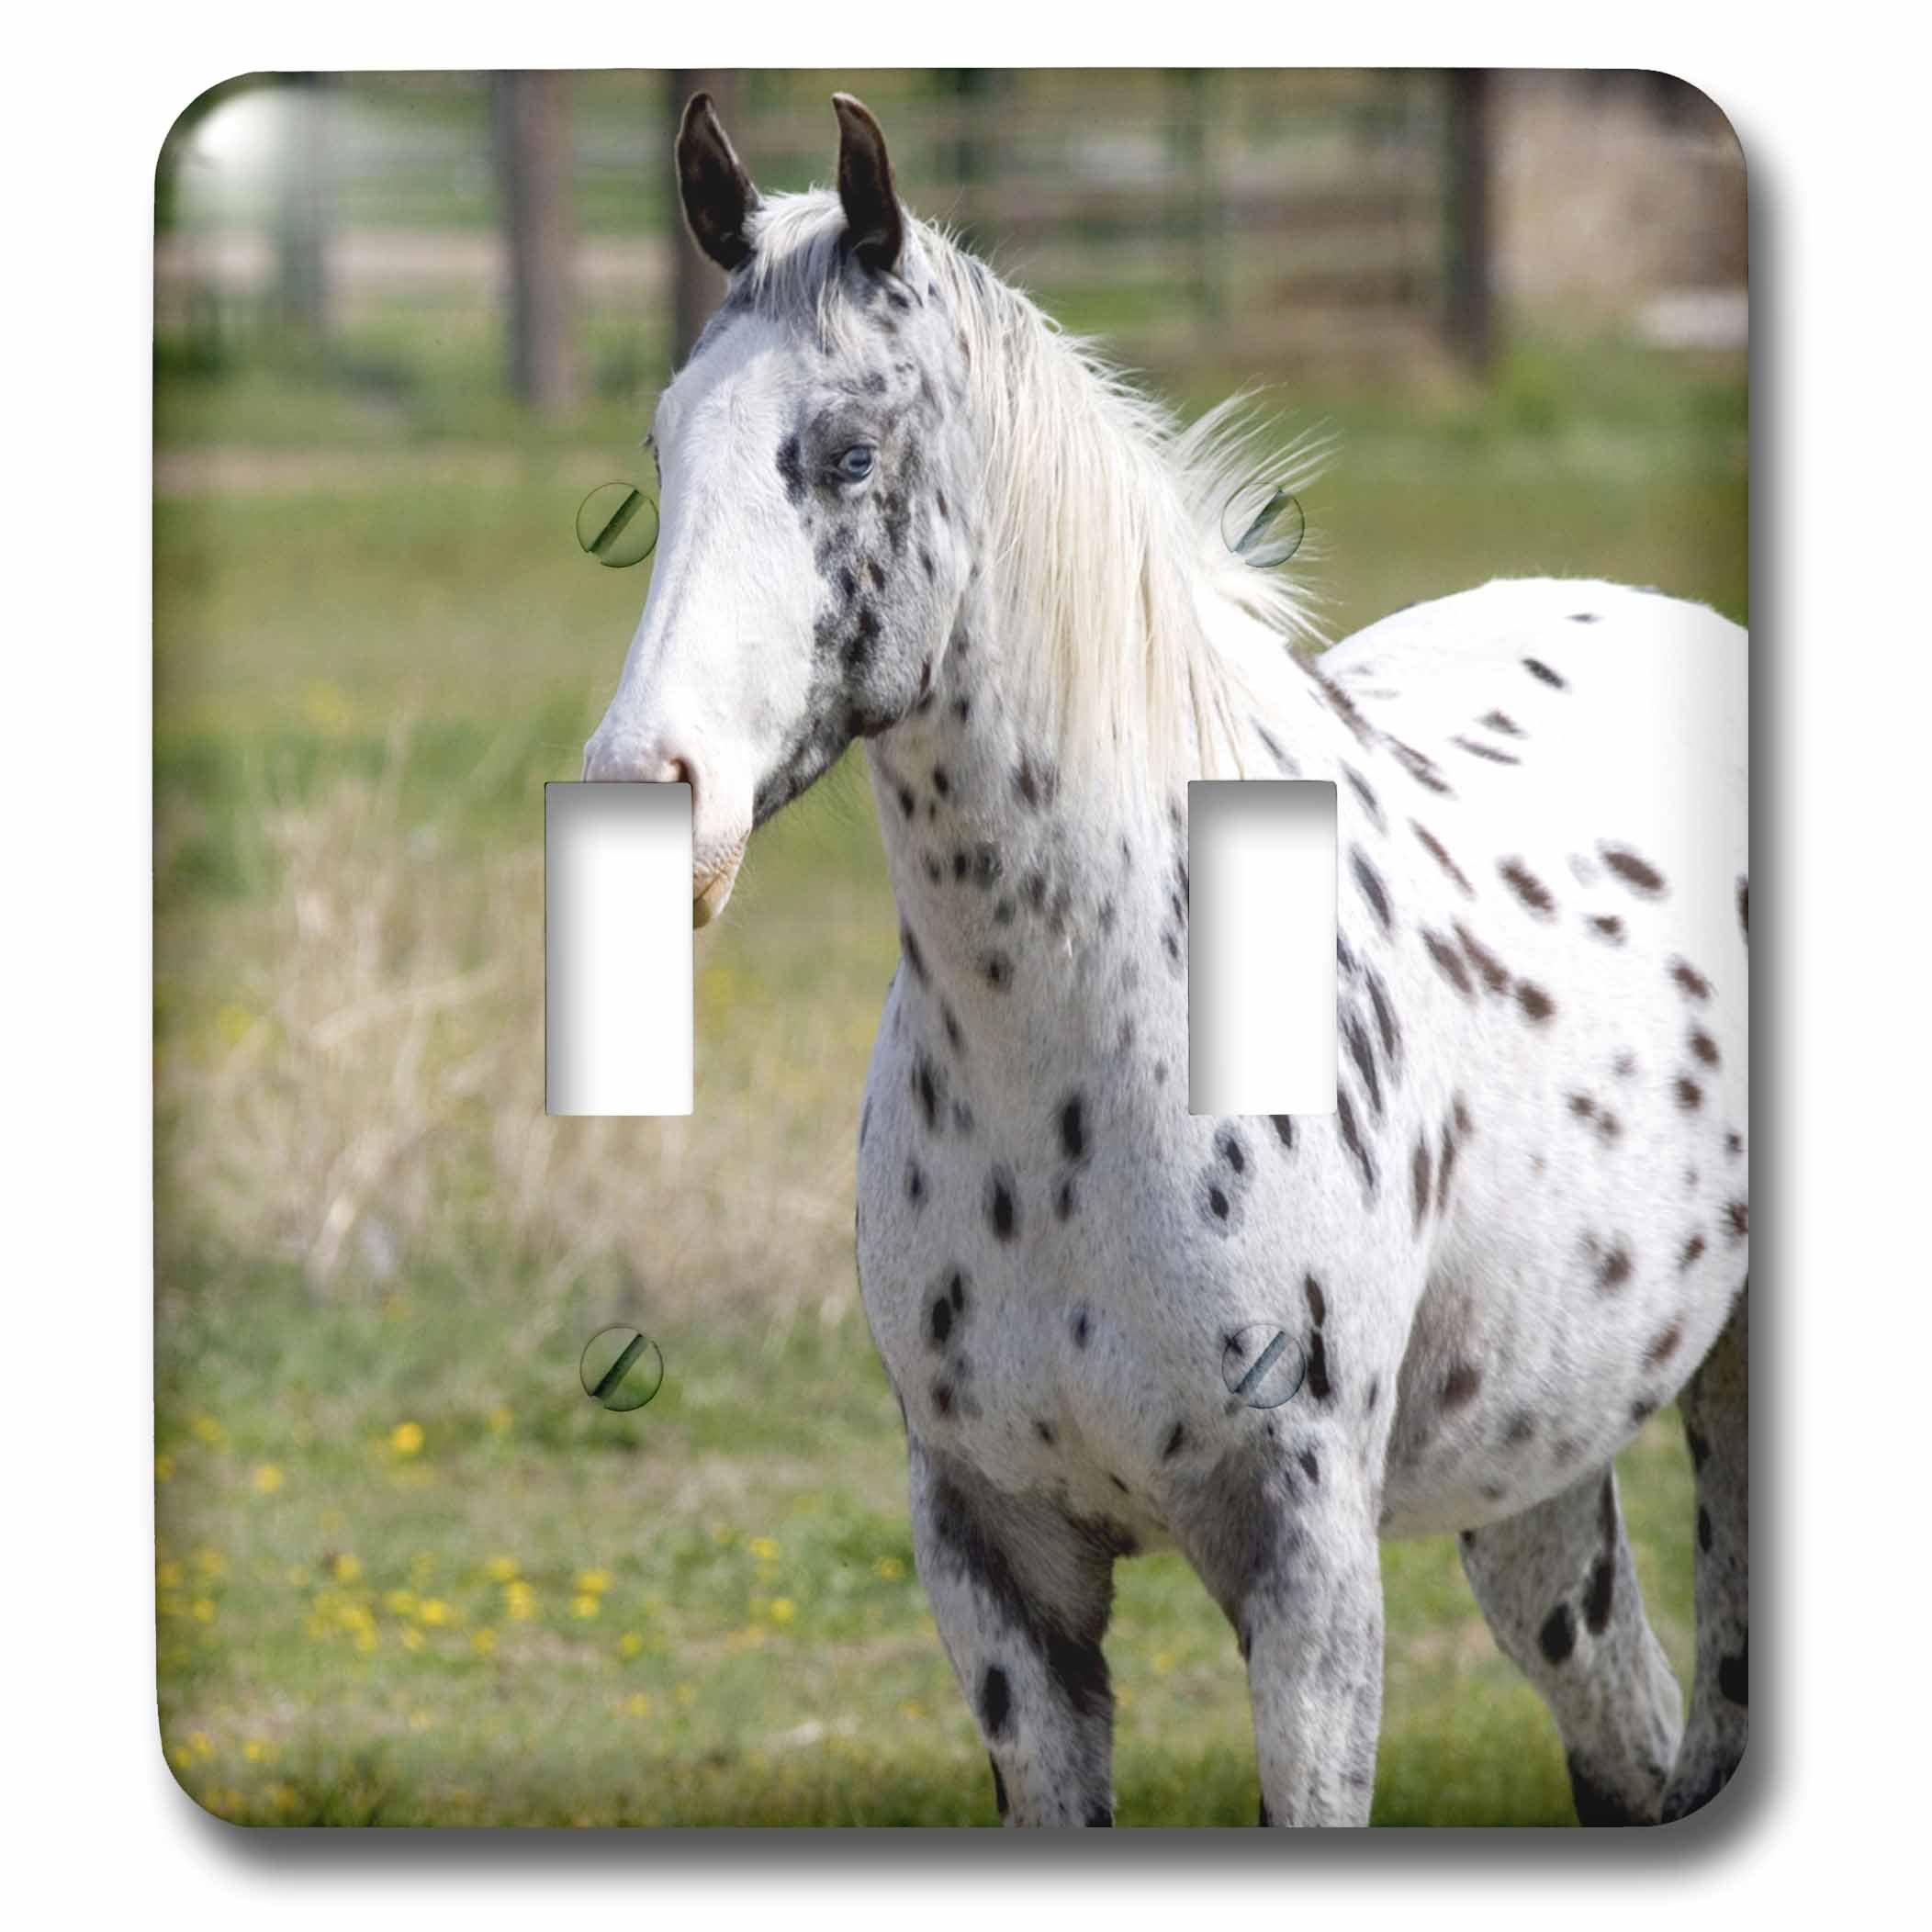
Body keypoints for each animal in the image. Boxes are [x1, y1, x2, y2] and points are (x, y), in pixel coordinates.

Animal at [584, 91, 1749, 1827]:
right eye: (663, 453)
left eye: (848, 454)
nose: (649, 791)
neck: (1081, 1067)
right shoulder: (998, 1570)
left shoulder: (1306, 1570)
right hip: (1538, 1461)